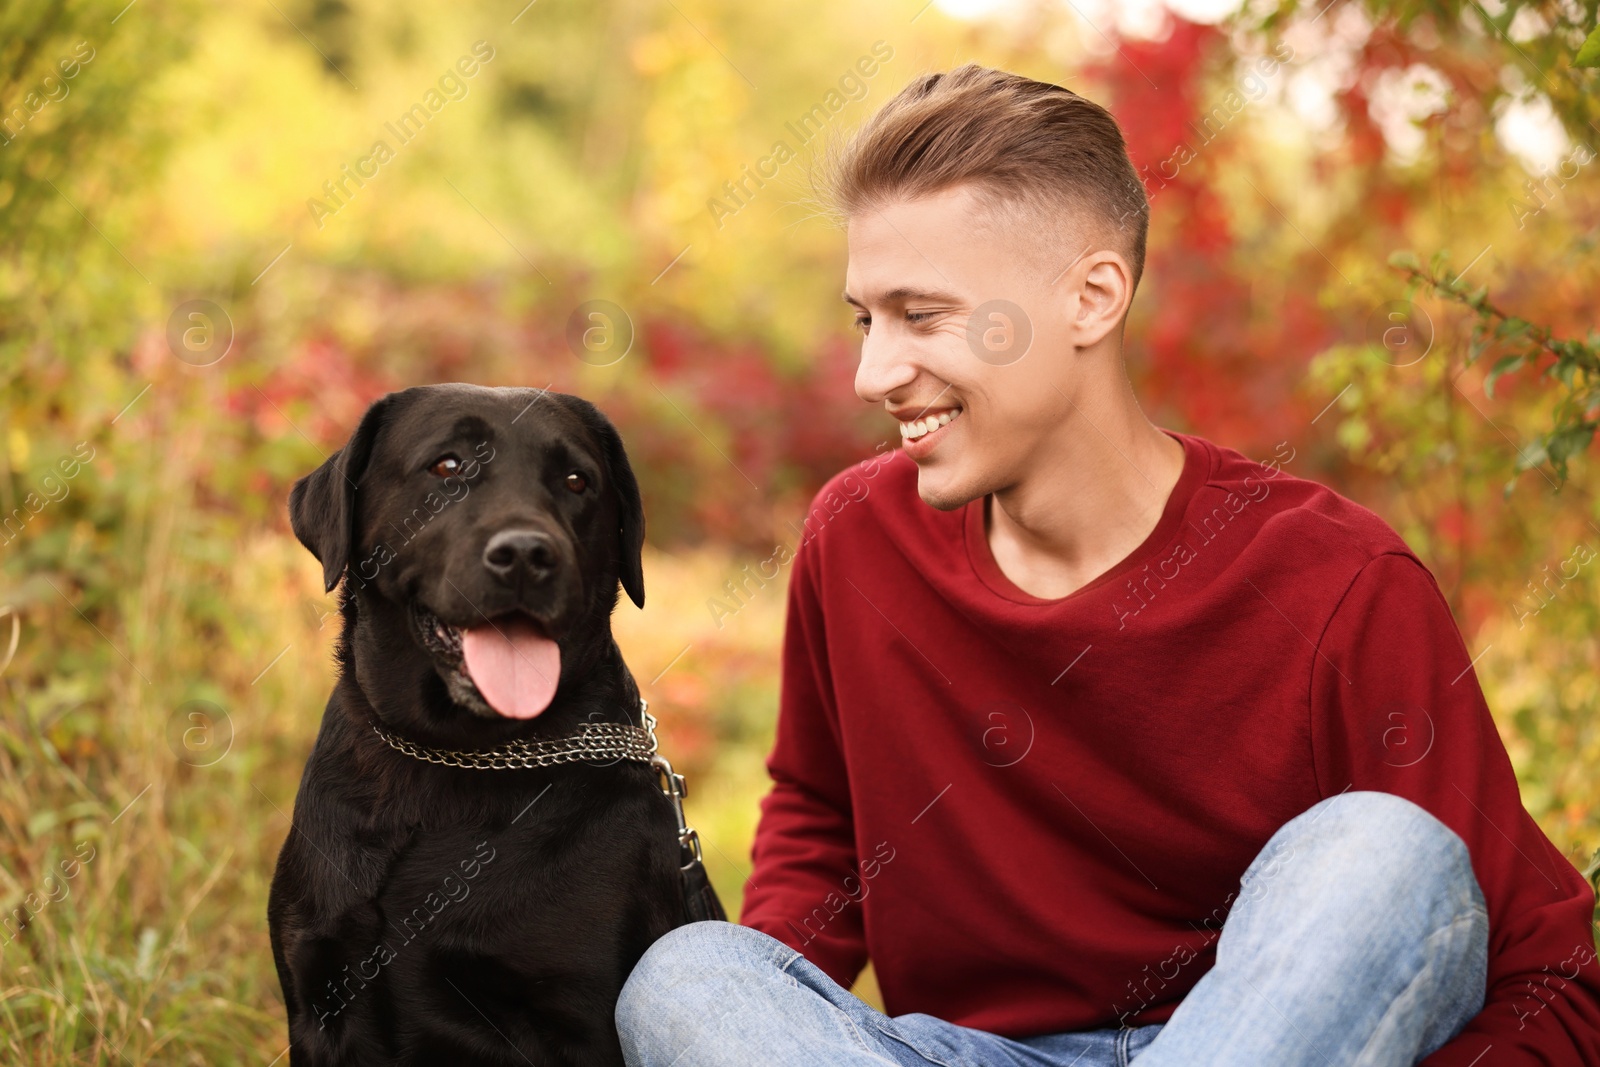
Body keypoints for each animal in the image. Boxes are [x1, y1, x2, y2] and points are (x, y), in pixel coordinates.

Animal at [272, 385, 710, 1067]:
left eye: (577, 480)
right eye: (447, 466)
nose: (527, 555)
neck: (448, 758)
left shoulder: (581, 1022)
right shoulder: (318, 997)